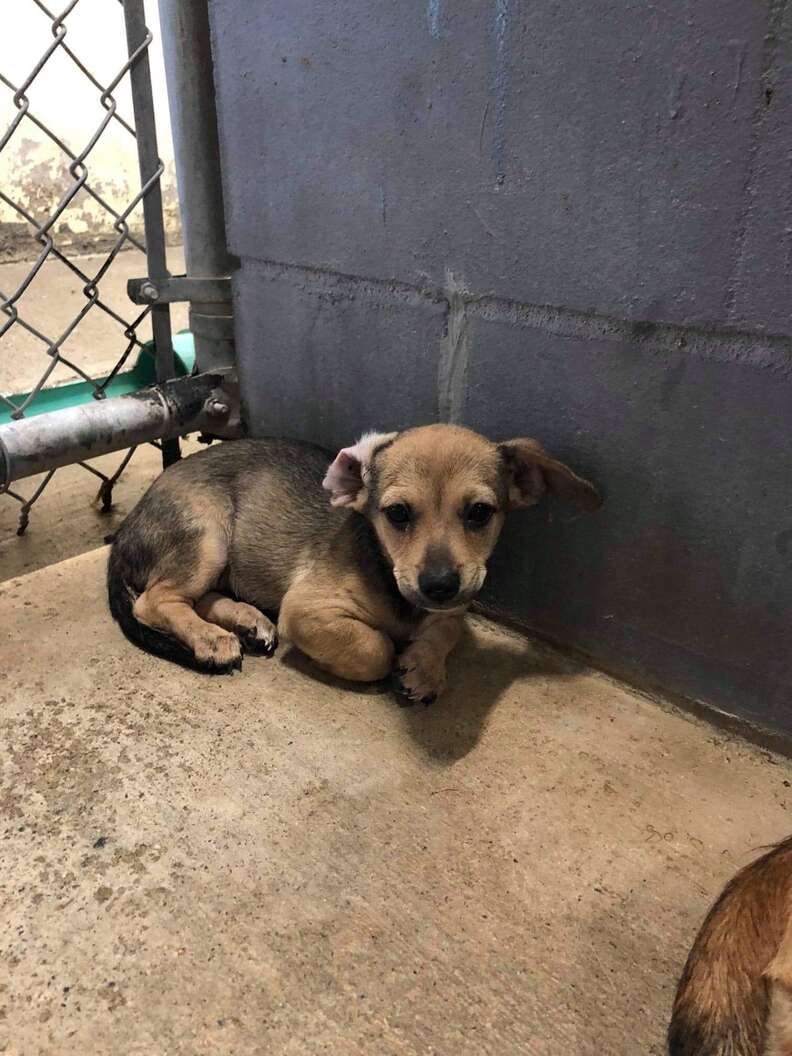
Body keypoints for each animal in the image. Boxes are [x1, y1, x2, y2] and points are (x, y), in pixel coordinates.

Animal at [107, 420, 599, 701]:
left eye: (480, 512)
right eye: (397, 514)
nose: (440, 585)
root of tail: (129, 523)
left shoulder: (456, 605)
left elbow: (444, 630)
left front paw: (425, 666)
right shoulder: (306, 610)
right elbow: (373, 649)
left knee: (196, 596)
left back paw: (247, 621)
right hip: (209, 534)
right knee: (154, 601)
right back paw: (211, 638)